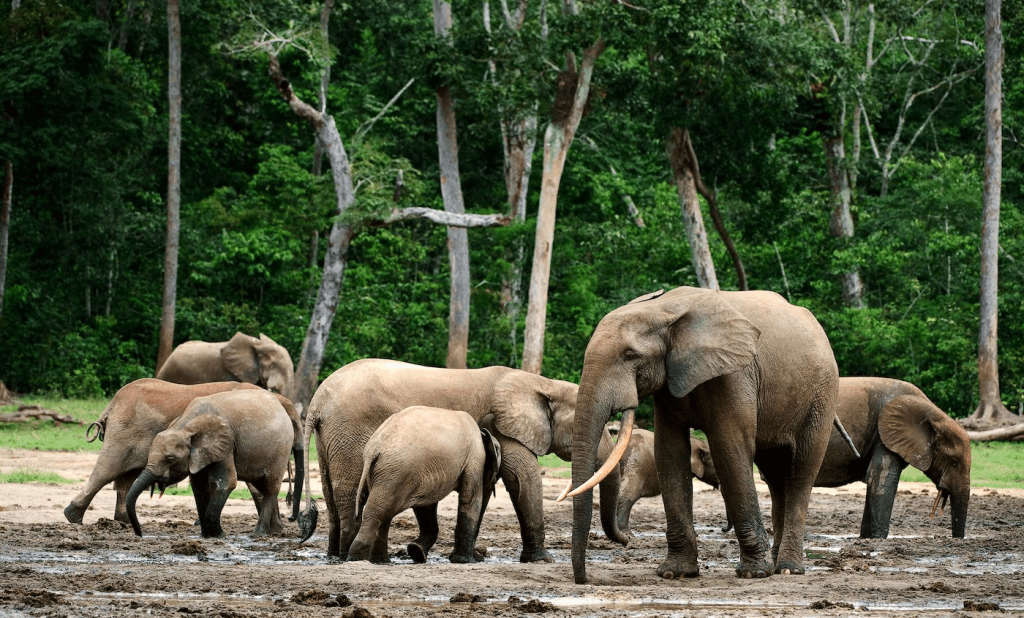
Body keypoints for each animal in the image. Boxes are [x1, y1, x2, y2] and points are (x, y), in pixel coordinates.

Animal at [65, 379, 269, 525]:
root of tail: (112, 404)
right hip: (124, 432)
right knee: (108, 470)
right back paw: (73, 517)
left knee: (126, 476)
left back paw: (124, 521)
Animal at [125, 388, 305, 538]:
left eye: (170, 459)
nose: (140, 534)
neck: (185, 425)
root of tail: (282, 402)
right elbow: (199, 486)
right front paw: (207, 536)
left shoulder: (226, 443)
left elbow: (225, 482)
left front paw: (219, 535)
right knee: (262, 486)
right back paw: (275, 532)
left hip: (281, 449)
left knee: (270, 487)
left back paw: (258, 534)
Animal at [348, 406, 502, 564]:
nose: (480, 557)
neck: (482, 433)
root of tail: (374, 449)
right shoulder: (475, 458)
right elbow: (471, 499)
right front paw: (465, 561)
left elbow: (426, 505)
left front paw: (416, 552)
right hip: (398, 470)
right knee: (378, 511)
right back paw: (356, 559)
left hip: (389, 472)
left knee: (384, 512)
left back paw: (380, 561)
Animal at [563, 286, 839, 583]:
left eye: (630, 355)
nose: (585, 579)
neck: (663, 308)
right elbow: (669, 452)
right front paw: (675, 573)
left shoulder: (735, 374)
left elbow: (729, 447)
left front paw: (753, 573)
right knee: (776, 477)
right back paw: (778, 563)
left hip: (822, 394)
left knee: (801, 472)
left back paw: (788, 568)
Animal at [814, 377, 971, 538]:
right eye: (953, 461)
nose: (956, 539)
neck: (932, 412)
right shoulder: (884, 434)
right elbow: (882, 478)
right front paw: (879, 539)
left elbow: (874, 481)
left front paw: (867, 538)